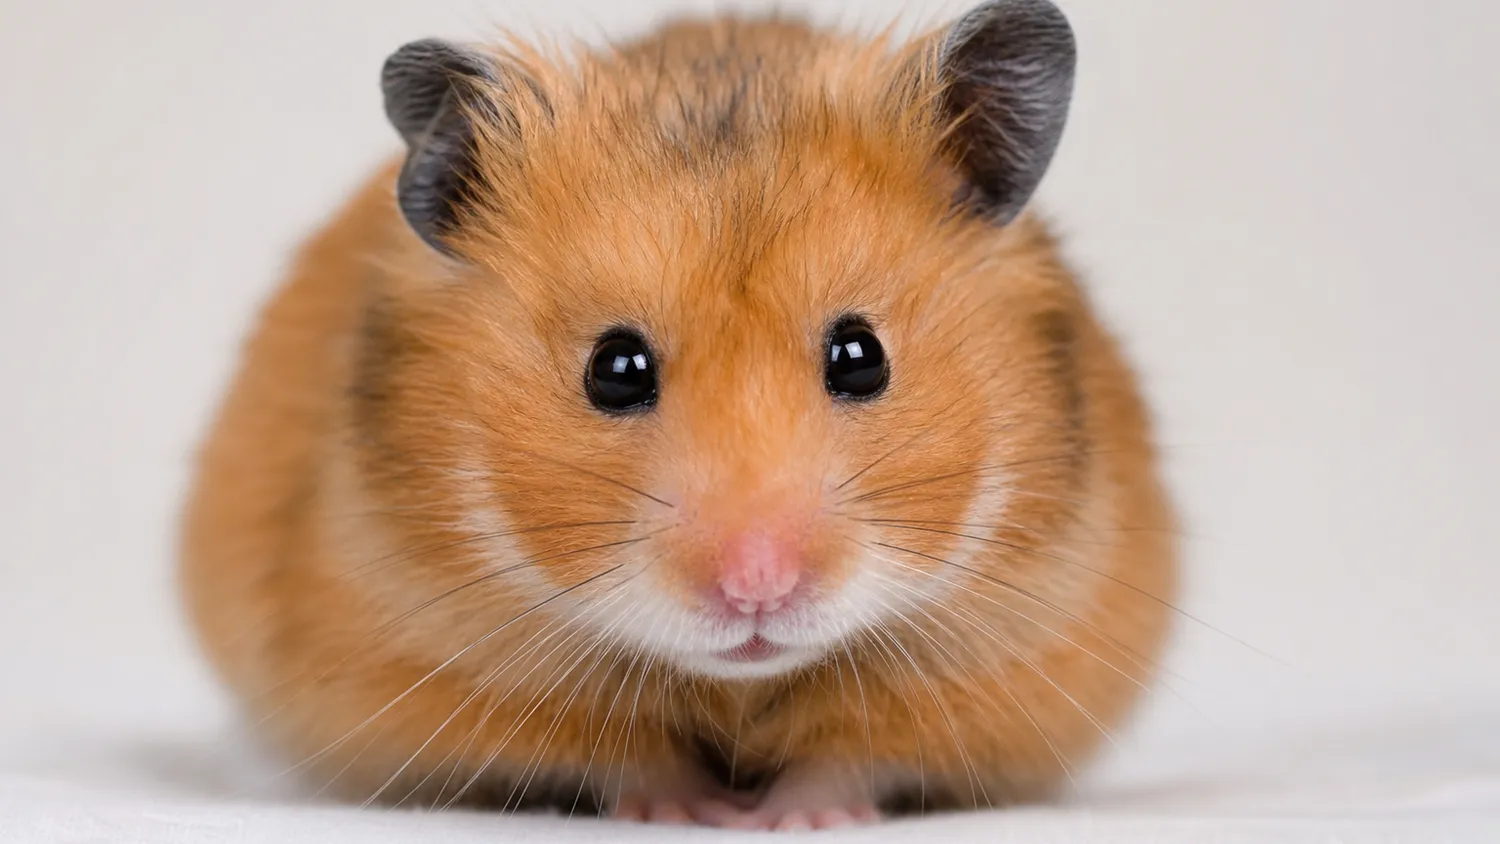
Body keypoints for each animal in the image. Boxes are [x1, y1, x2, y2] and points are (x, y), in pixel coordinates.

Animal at [179, 0, 1176, 830]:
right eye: (614, 370)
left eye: (862, 357)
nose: (757, 591)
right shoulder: (439, 652)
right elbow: (622, 755)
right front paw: (691, 813)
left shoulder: (1010, 650)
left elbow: (852, 754)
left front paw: (794, 821)